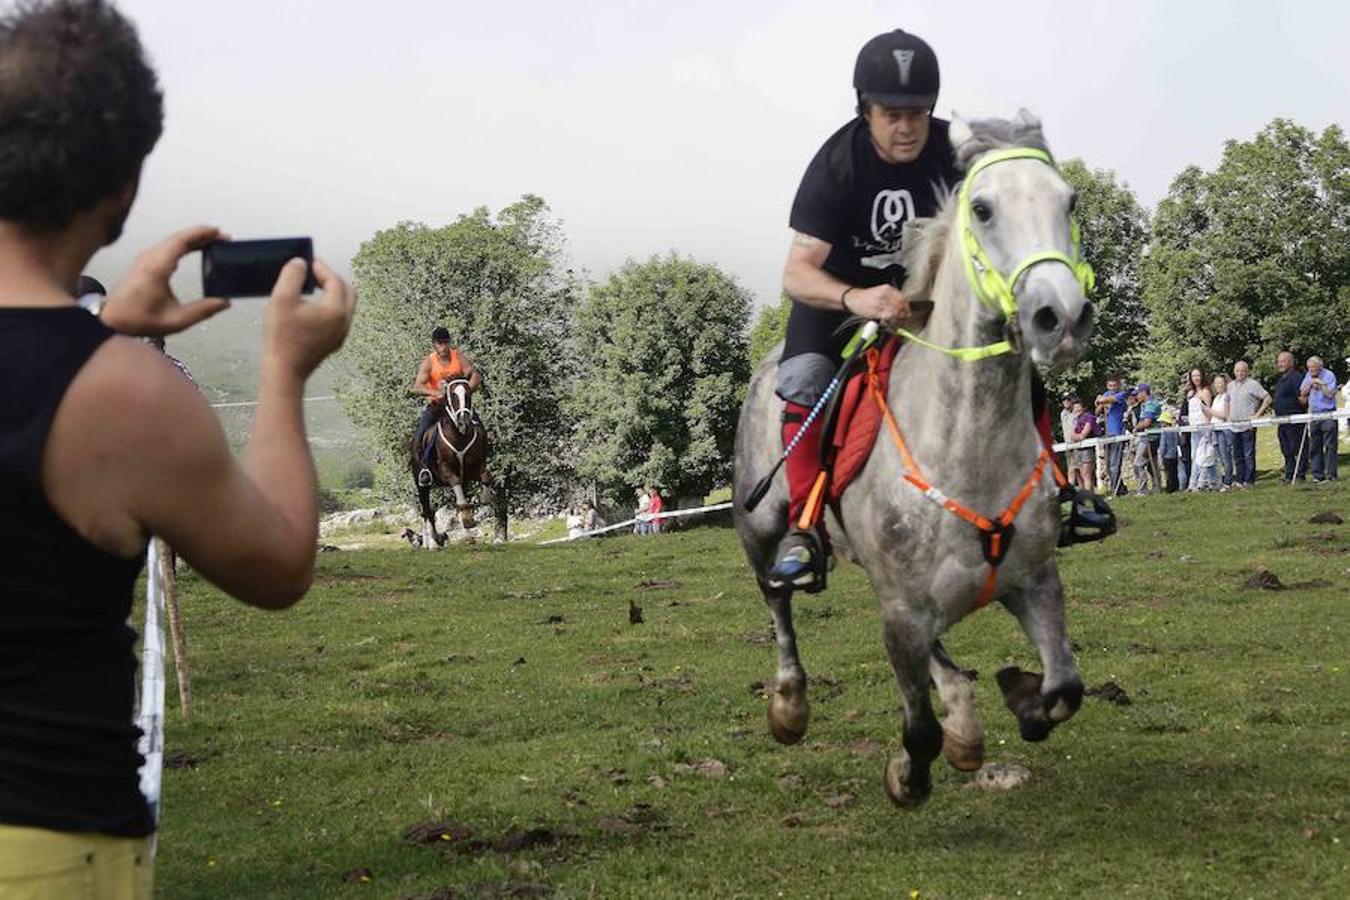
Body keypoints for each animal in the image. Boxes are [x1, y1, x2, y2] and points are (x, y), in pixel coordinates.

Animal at [413, 377, 494, 545]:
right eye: (453, 396)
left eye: (468, 394)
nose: (464, 422)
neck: (459, 437)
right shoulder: (447, 471)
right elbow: (458, 494)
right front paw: (468, 519)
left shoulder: (475, 468)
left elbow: (486, 477)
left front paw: (484, 498)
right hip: (421, 483)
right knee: (427, 511)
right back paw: (433, 543)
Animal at [739, 109, 1096, 804]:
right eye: (983, 209)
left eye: (1068, 202)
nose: (1061, 318)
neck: (967, 445)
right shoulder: (901, 614)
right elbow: (920, 731)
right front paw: (908, 775)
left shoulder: (1036, 582)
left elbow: (1064, 689)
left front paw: (1018, 698)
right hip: (762, 529)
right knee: (778, 603)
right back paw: (790, 704)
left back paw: (965, 713)